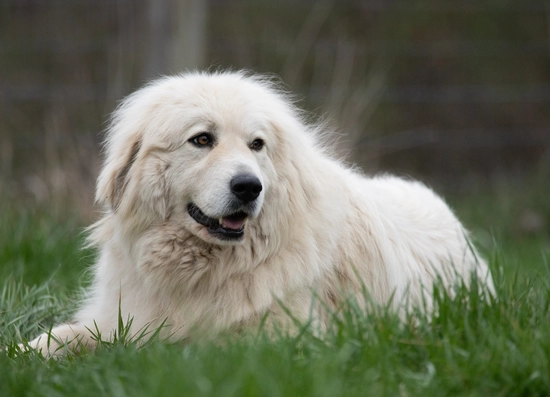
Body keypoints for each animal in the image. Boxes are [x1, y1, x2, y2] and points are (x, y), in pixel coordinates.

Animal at [23, 69, 494, 354]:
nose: (249, 186)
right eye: (202, 140)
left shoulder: (276, 339)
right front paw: (23, 354)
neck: (205, 271)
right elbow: (58, 337)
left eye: (256, 145)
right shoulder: (119, 317)